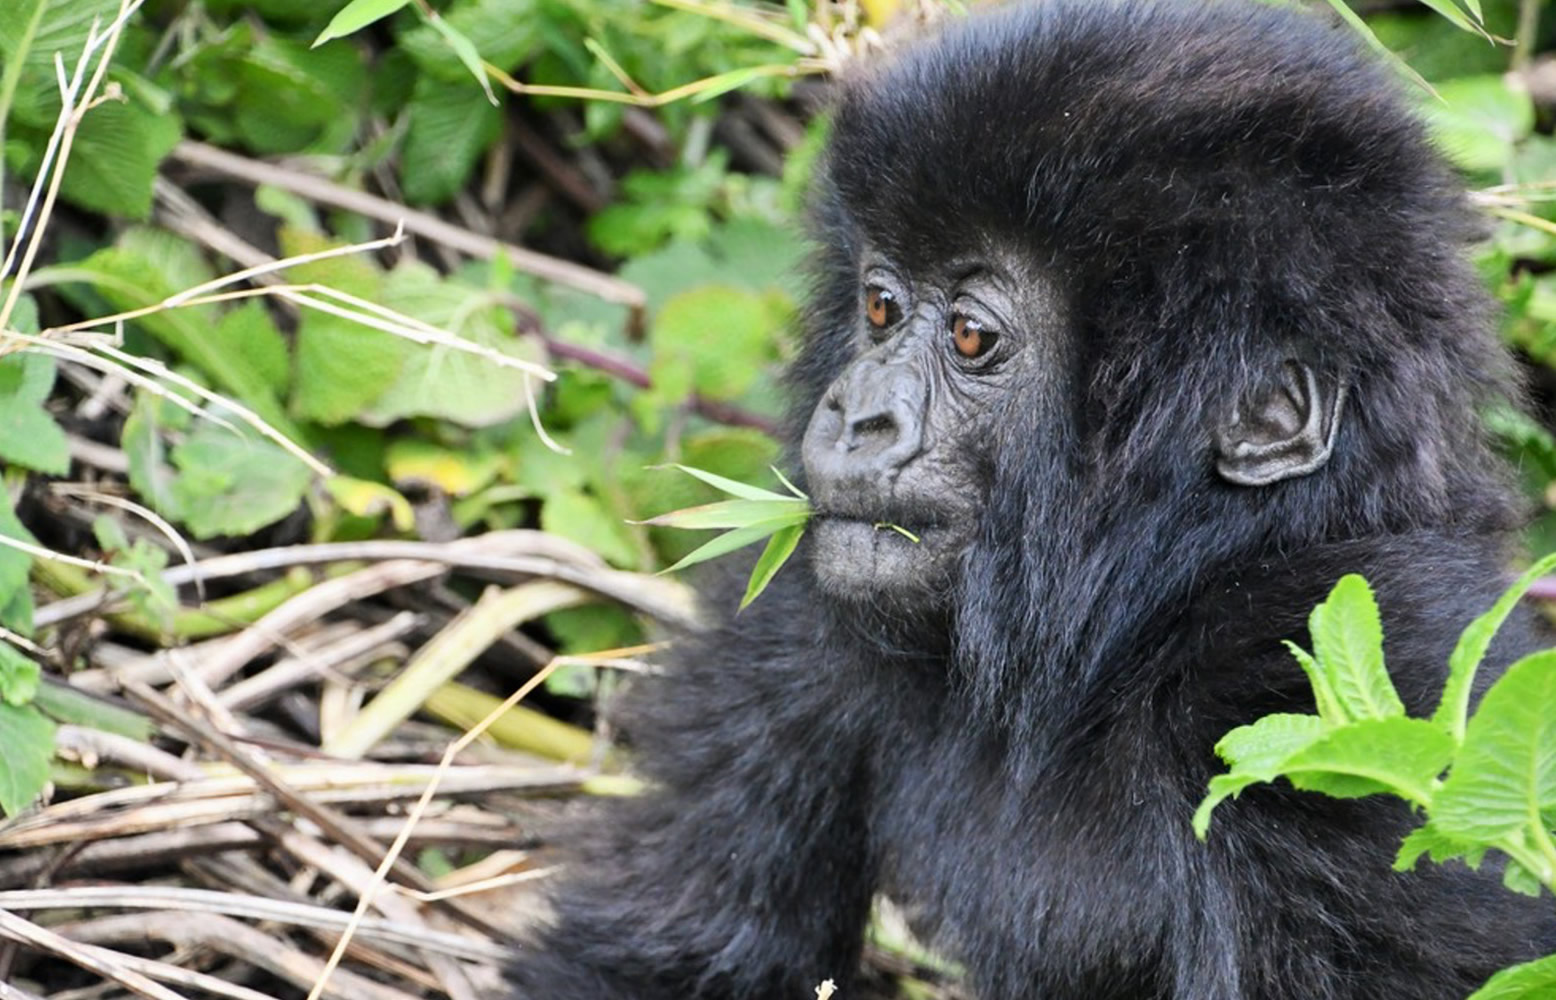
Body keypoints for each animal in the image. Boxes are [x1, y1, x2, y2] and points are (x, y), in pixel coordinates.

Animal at [507, 1, 1556, 1000]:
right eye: (880, 306)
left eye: (971, 336)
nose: (855, 414)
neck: (1125, 641)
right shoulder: (796, 604)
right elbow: (670, 955)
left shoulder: (1359, 694)